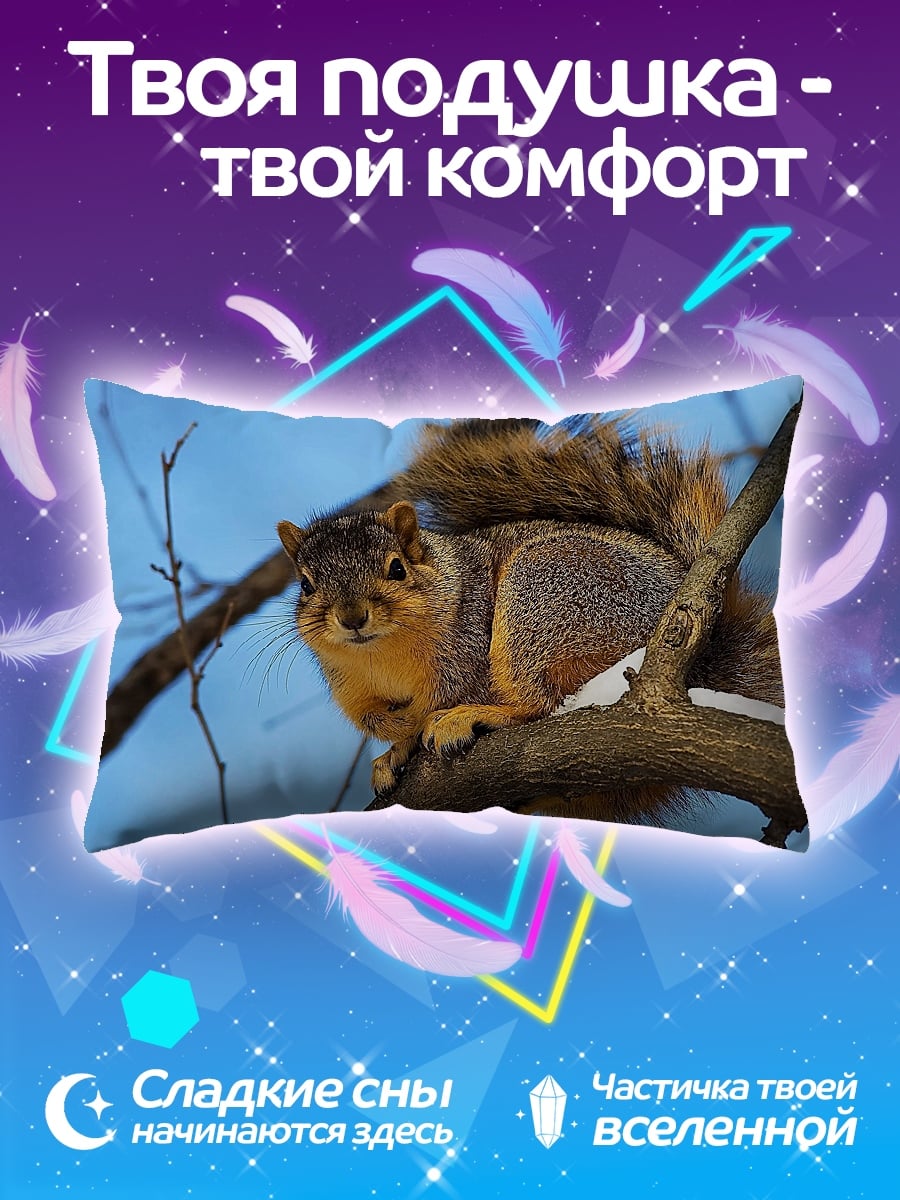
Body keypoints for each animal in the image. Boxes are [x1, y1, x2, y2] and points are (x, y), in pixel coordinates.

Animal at [276, 415, 782, 821]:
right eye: (306, 584)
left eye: (397, 568)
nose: (352, 617)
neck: (382, 656)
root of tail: (703, 657)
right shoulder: (353, 689)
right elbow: (381, 719)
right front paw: (391, 750)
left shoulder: (466, 648)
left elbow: (436, 704)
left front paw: (414, 734)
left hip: (541, 596)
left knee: (538, 702)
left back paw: (473, 717)